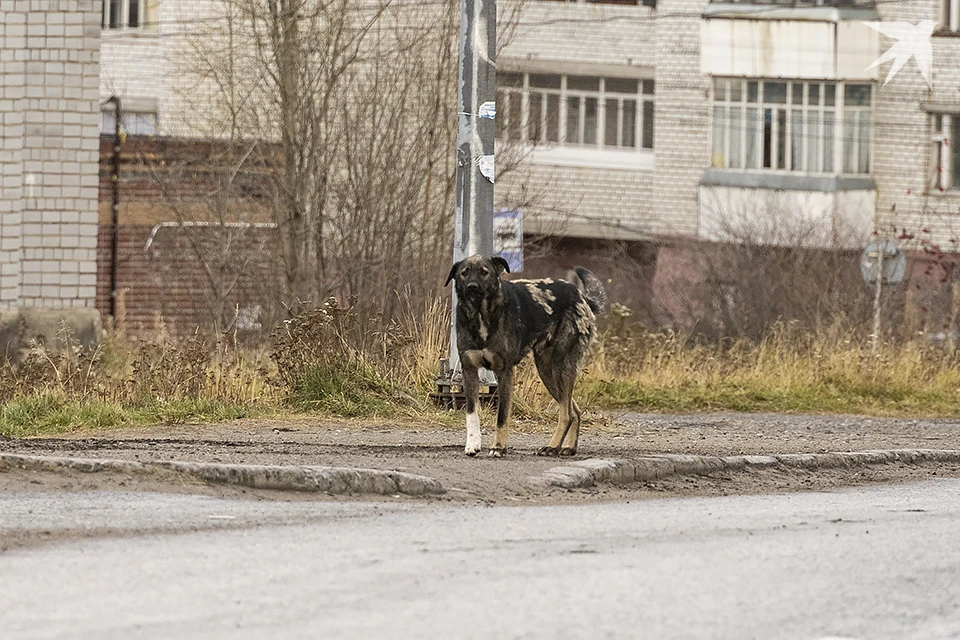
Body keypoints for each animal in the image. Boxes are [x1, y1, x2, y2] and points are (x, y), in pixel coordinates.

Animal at [444, 252, 608, 458]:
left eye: (484, 272)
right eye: (464, 273)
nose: (472, 287)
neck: (481, 315)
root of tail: (581, 296)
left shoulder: (504, 373)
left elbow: (502, 417)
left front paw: (498, 447)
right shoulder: (469, 372)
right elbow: (471, 414)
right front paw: (473, 444)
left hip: (561, 367)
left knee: (566, 413)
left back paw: (553, 446)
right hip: (548, 372)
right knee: (574, 410)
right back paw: (568, 447)